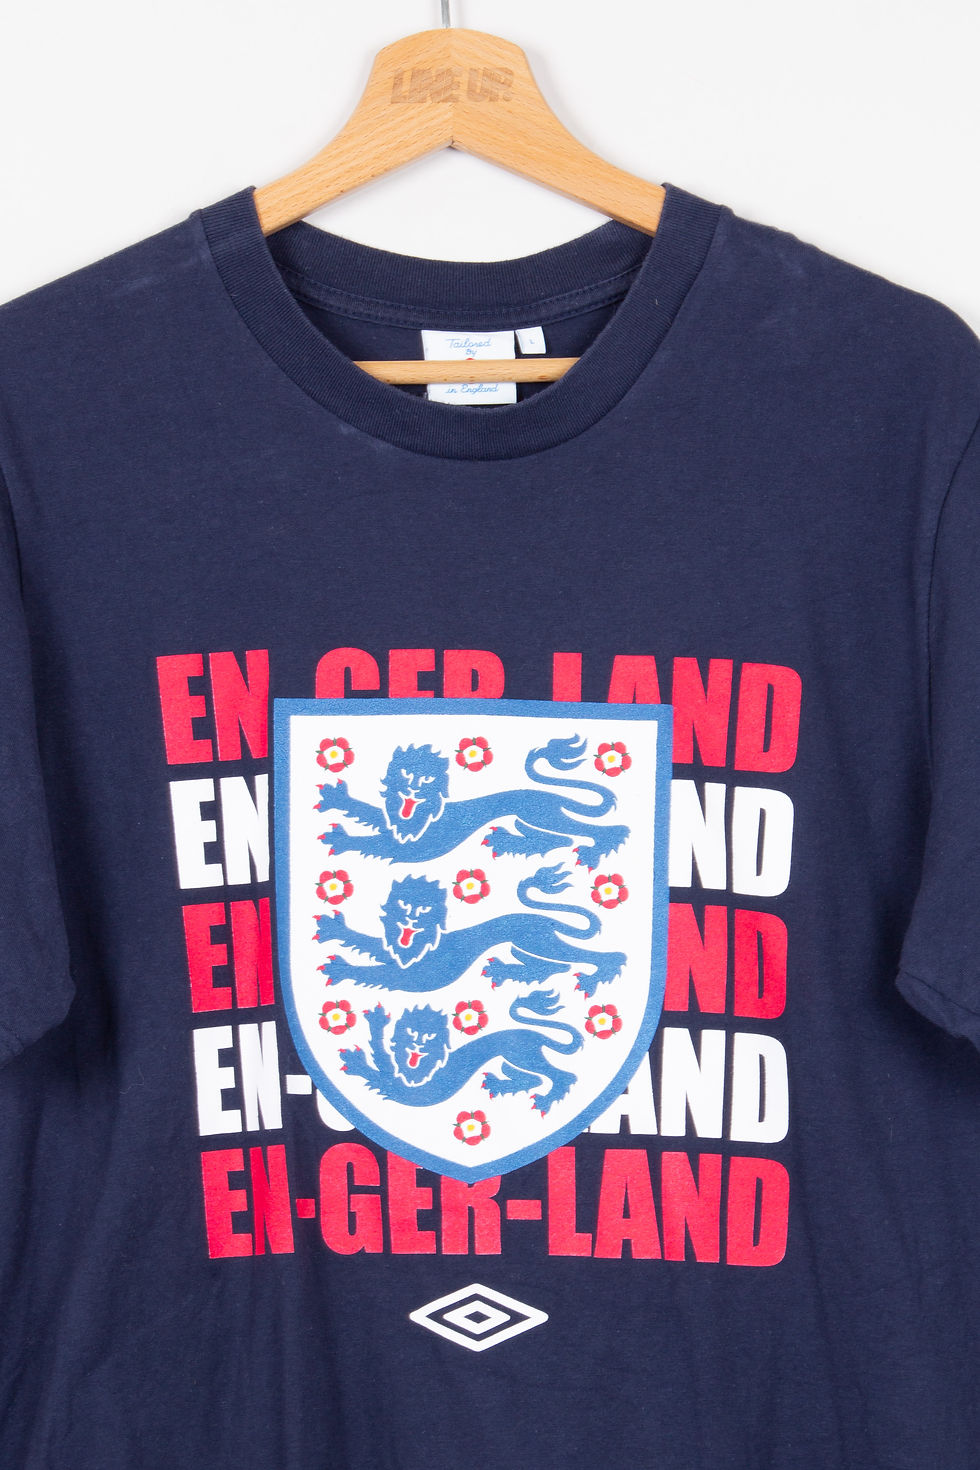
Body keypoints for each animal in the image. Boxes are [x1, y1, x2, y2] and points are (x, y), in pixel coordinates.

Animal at [315, 863, 625, 998]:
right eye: (404, 904)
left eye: (424, 909)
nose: (412, 918)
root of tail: (541, 918)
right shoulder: (396, 954)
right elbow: (369, 945)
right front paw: (335, 929)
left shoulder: (415, 976)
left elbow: (373, 973)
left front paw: (341, 968)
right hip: (522, 946)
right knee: (556, 967)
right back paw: (505, 970)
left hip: (538, 941)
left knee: (606, 957)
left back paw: (597, 977)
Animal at [316, 734, 629, 869]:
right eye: (405, 773)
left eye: (427, 780)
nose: (414, 789)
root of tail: (554, 796)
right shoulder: (395, 826)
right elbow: (371, 815)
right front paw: (338, 798)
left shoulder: (414, 846)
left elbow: (372, 843)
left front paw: (341, 839)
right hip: (529, 819)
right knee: (561, 840)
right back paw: (508, 841)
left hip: (540, 814)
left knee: (610, 830)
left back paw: (595, 851)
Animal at [339, 989, 582, 1114]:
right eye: (410, 1031)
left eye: (430, 1036)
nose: (418, 1045)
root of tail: (537, 1034)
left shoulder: (407, 1086)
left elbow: (379, 1066)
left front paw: (358, 1055)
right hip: (511, 1058)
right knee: (534, 1079)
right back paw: (500, 1083)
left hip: (521, 1055)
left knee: (563, 1076)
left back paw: (546, 1100)